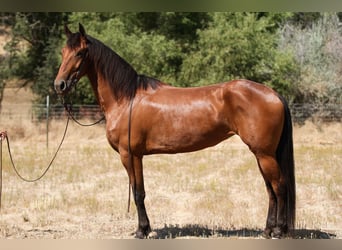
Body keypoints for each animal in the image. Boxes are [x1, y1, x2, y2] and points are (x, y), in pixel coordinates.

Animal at [53, 24, 294, 239]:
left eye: (80, 52)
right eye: (63, 52)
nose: (59, 85)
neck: (126, 99)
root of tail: (274, 94)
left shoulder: (130, 155)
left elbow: (138, 193)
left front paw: (142, 231)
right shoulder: (135, 156)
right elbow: (139, 191)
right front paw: (145, 228)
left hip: (264, 154)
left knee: (280, 187)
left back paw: (279, 231)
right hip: (261, 154)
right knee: (270, 190)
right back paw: (267, 230)